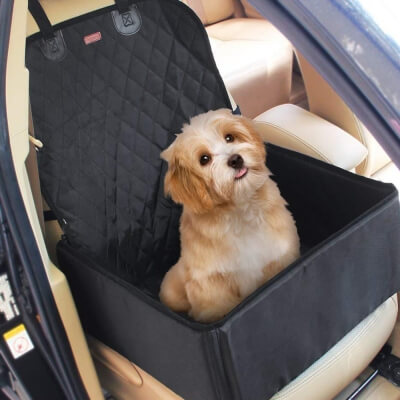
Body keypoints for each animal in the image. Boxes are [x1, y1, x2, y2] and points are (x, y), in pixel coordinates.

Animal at [159, 109, 300, 323]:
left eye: (229, 137)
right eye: (204, 159)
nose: (235, 159)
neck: (240, 210)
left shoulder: (279, 258)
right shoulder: (211, 284)